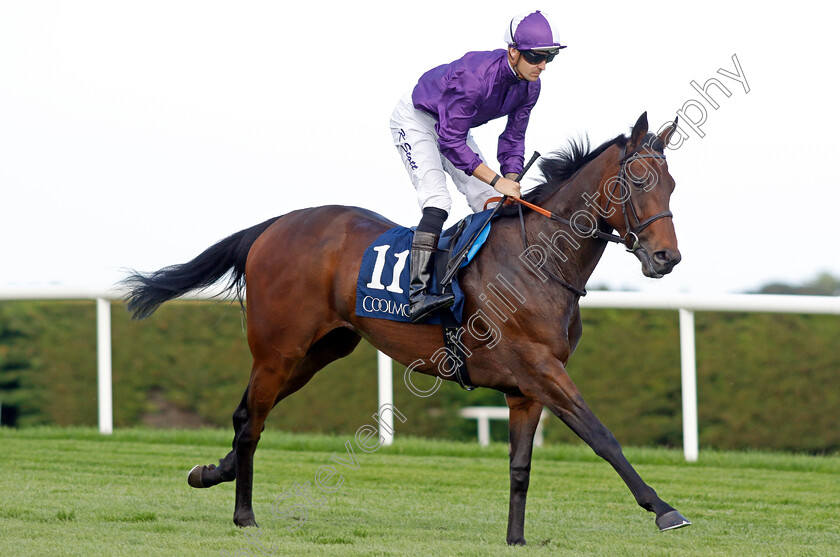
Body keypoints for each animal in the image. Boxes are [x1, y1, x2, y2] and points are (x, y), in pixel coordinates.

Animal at [123, 112, 688, 544]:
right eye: (638, 183)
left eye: (672, 184)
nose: (668, 258)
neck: (538, 261)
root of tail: (274, 225)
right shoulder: (542, 369)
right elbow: (602, 436)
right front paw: (664, 509)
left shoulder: (525, 388)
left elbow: (520, 468)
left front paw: (515, 538)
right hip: (278, 350)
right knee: (251, 424)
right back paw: (244, 515)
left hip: (320, 351)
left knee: (246, 414)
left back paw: (209, 473)